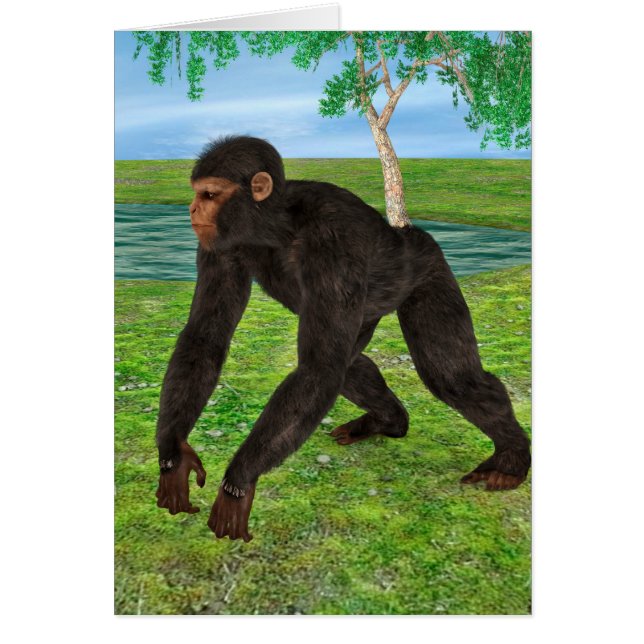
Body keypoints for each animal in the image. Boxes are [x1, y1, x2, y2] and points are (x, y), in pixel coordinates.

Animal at [154, 135, 531, 542]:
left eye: (209, 193)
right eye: (198, 192)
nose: (192, 208)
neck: (275, 225)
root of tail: (409, 231)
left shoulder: (334, 245)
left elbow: (319, 368)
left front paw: (238, 482)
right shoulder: (219, 247)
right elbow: (206, 337)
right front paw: (173, 457)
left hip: (429, 268)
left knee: (450, 376)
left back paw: (511, 458)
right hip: (371, 312)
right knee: (349, 365)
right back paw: (389, 421)